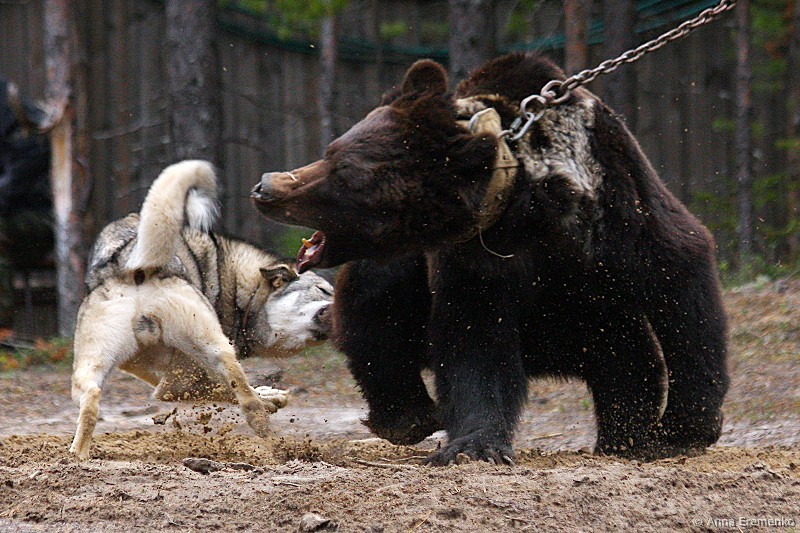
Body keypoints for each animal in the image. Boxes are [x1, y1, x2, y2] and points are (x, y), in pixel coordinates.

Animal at [70, 160, 333, 459]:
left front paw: (270, 395)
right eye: (324, 290)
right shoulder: (179, 383)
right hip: (216, 348)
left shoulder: (163, 380)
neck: (236, 285)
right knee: (248, 404)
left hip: (89, 366)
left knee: (91, 399)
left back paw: (77, 456)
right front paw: (270, 398)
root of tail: (133, 266)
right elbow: (230, 389)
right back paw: (273, 444)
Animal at [251, 53, 729, 465]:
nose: (266, 186)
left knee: (628, 364)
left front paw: (680, 430)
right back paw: (408, 416)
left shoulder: (618, 211)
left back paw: (624, 438)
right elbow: (475, 342)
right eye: (332, 151)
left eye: (345, 170)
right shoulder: (478, 261)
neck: (534, 205)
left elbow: (682, 287)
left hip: (600, 322)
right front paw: (474, 445)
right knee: (374, 311)